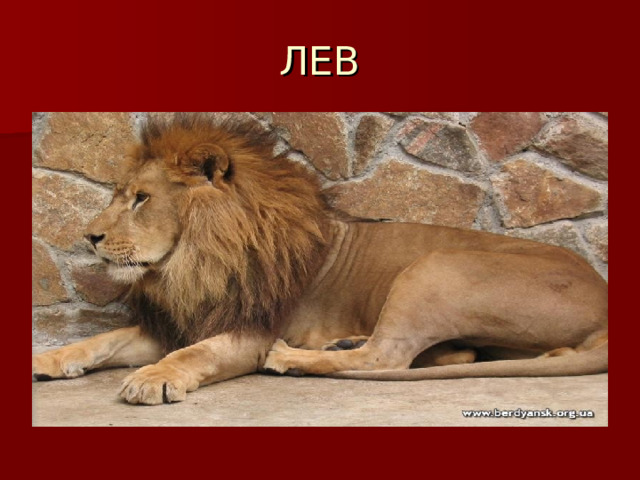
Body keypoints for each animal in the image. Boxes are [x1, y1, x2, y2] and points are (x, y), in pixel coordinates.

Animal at [32, 114, 608, 405]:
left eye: (141, 198)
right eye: (119, 194)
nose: (89, 237)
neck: (196, 261)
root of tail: (603, 297)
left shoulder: (250, 327)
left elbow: (198, 354)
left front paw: (153, 377)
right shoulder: (186, 318)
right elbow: (102, 340)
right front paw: (47, 360)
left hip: (435, 266)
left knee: (387, 358)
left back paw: (292, 358)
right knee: (453, 355)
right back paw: (340, 342)